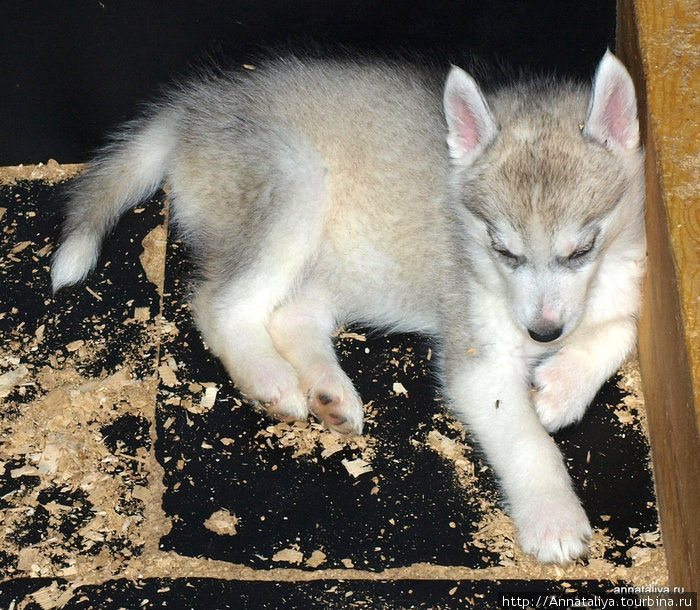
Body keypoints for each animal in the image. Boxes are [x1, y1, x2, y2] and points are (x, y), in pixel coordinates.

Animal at [52, 52, 648, 560]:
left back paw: (329, 392)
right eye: (503, 250)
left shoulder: (625, 281)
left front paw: (560, 390)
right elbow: (526, 439)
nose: (544, 336)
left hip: (345, 267)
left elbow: (623, 329)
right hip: (297, 182)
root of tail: (193, 108)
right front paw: (554, 519)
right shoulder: (477, 356)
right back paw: (272, 380)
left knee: (288, 315)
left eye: (582, 248)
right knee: (217, 305)